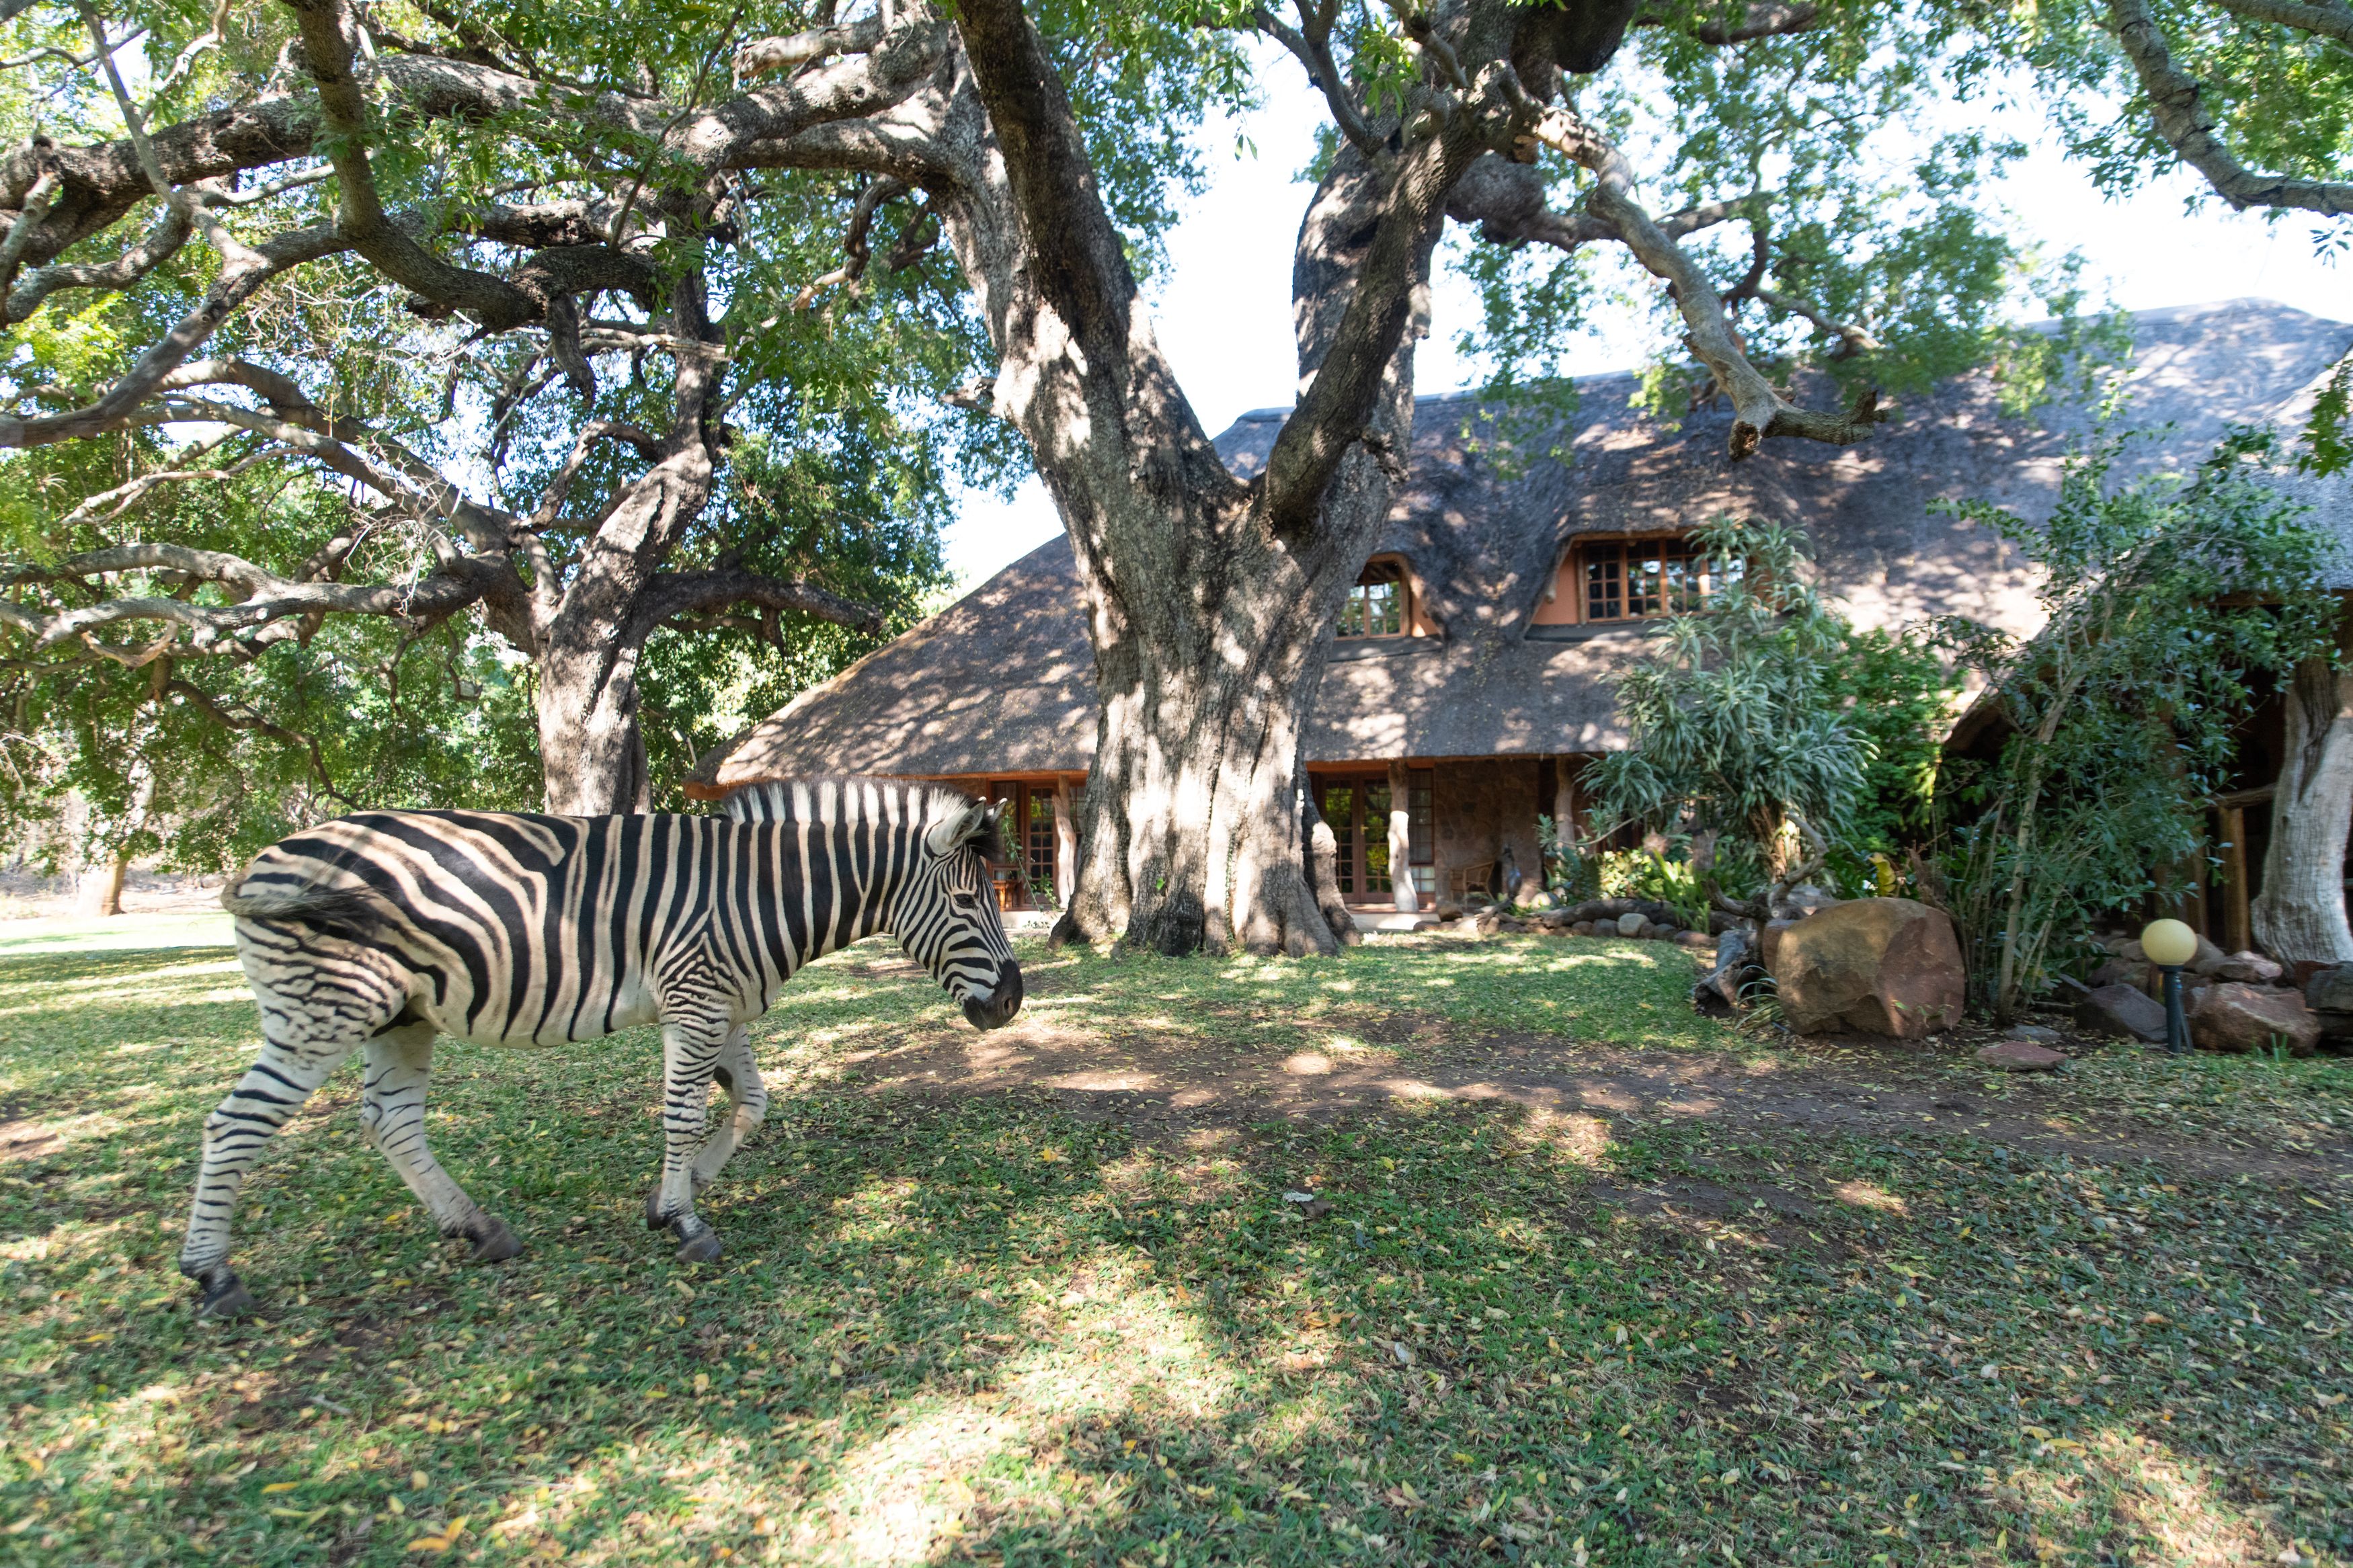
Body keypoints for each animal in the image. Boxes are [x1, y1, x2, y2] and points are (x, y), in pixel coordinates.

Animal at [180, 777, 1023, 1319]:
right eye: (963, 900)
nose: (1013, 1000)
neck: (763, 890)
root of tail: (262, 860)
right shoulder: (695, 999)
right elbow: (683, 1115)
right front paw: (686, 1222)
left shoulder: (722, 1004)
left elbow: (751, 1102)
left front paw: (671, 1195)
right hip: (325, 1008)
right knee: (235, 1124)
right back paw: (212, 1274)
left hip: (400, 1014)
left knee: (390, 1121)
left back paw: (475, 1228)